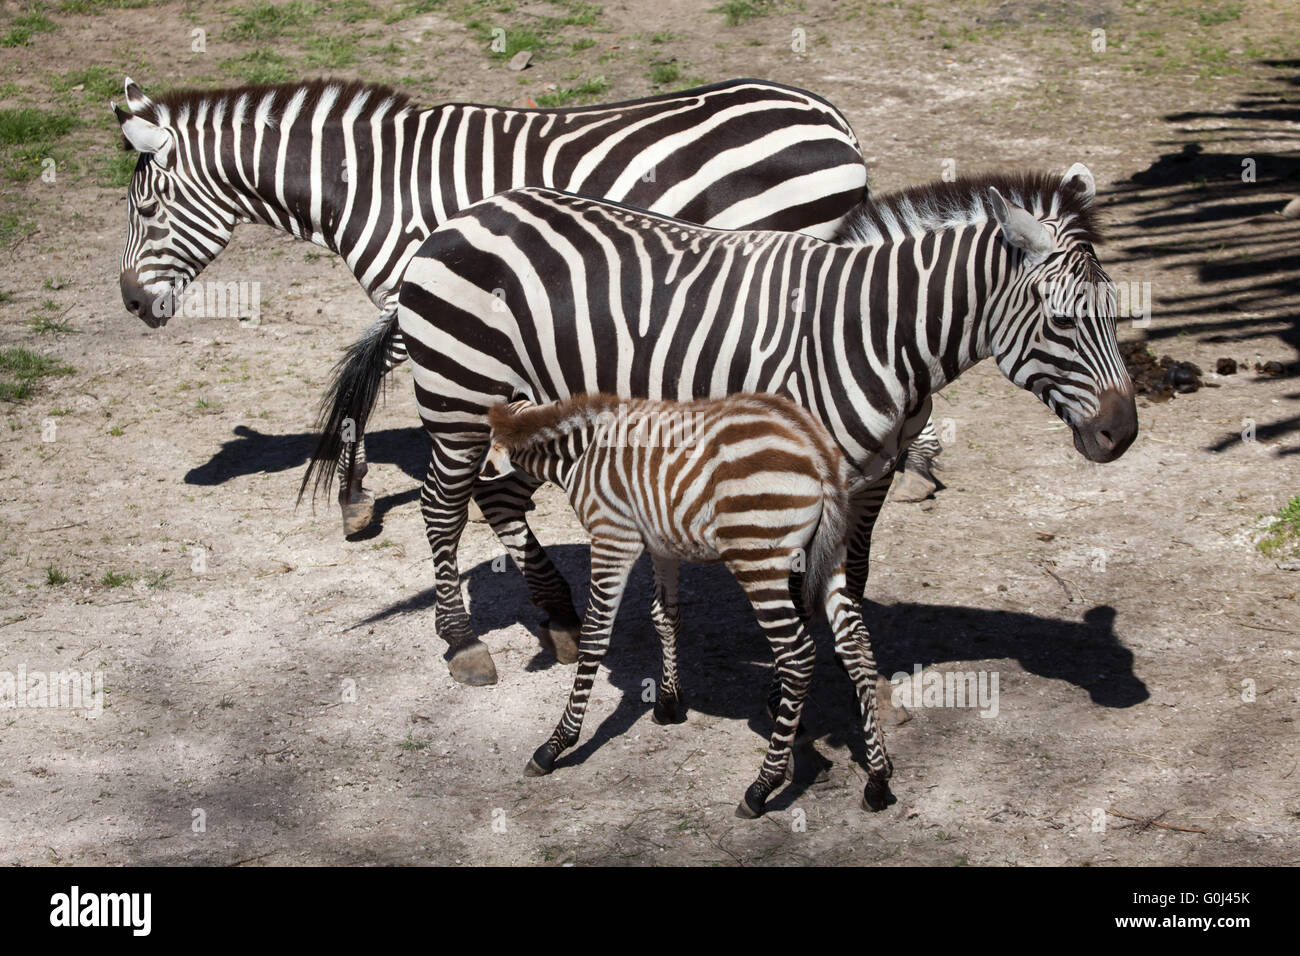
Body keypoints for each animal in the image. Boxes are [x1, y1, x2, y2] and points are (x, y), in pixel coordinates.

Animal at [114, 75, 904, 541]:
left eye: (147, 209)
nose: (128, 301)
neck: (373, 185)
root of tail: (830, 117)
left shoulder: (422, 295)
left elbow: (362, 388)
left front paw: (355, 494)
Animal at [371, 166, 1133, 686]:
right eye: (1061, 321)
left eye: (1114, 309)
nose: (1121, 434)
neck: (876, 334)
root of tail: (466, 214)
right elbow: (797, 589)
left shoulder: (871, 477)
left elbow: (850, 576)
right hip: (459, 404)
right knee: (441, 508)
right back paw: (463, 642)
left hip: (530, 409)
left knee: (497, 496)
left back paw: (559, 621)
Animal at [483, 392, 899, 816]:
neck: (580, 453)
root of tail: (815, 447)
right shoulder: (661, 543)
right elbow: (664, 615)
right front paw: (668, 703)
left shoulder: (612, 537)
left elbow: (596, 635)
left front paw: (556, 744)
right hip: (833, 553)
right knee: (857, 648)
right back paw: (877, 780)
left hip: (759, 560)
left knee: (797, 657)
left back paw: (762, 786)